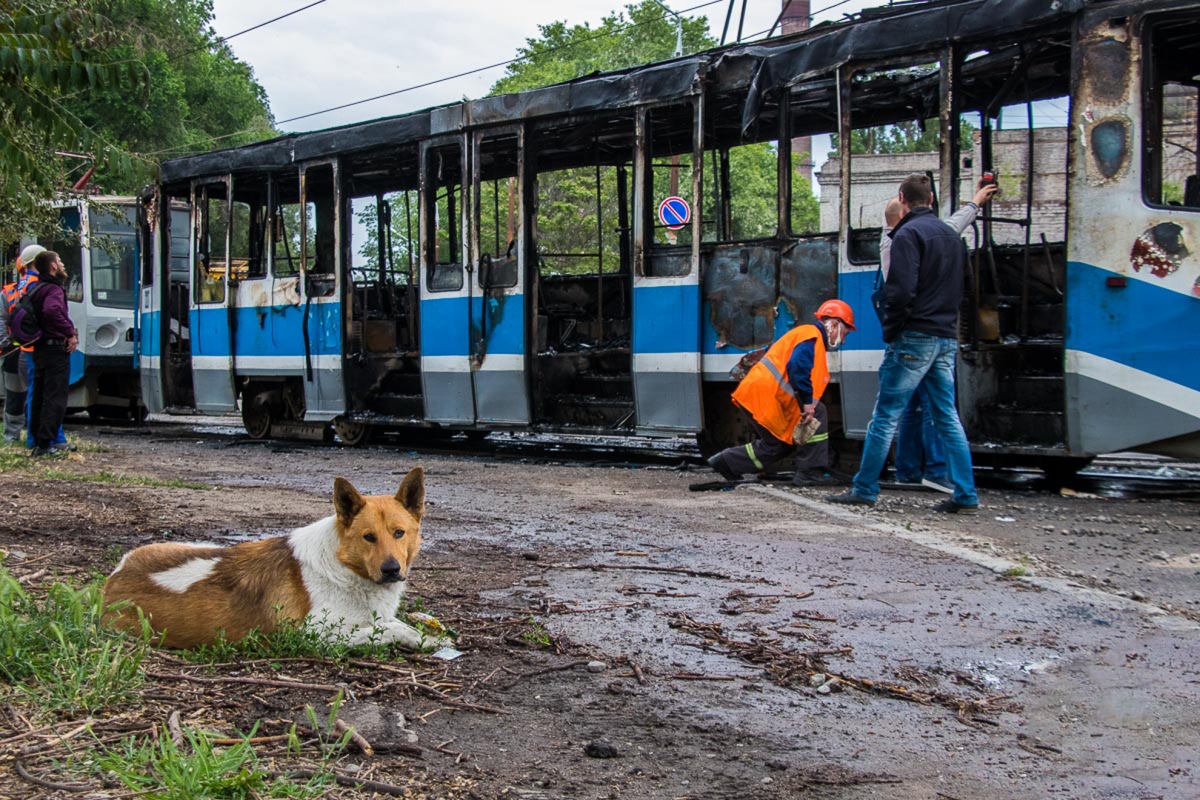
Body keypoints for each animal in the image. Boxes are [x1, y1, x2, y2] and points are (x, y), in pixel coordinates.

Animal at [103, 470, 448, 652]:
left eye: (399, 533)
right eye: (368, 537)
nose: (391, 570)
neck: (346, 568)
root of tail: (115, 576)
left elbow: (393, 622)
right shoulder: (313, 633)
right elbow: (390, 629)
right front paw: (421, 639)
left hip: (202, 546)